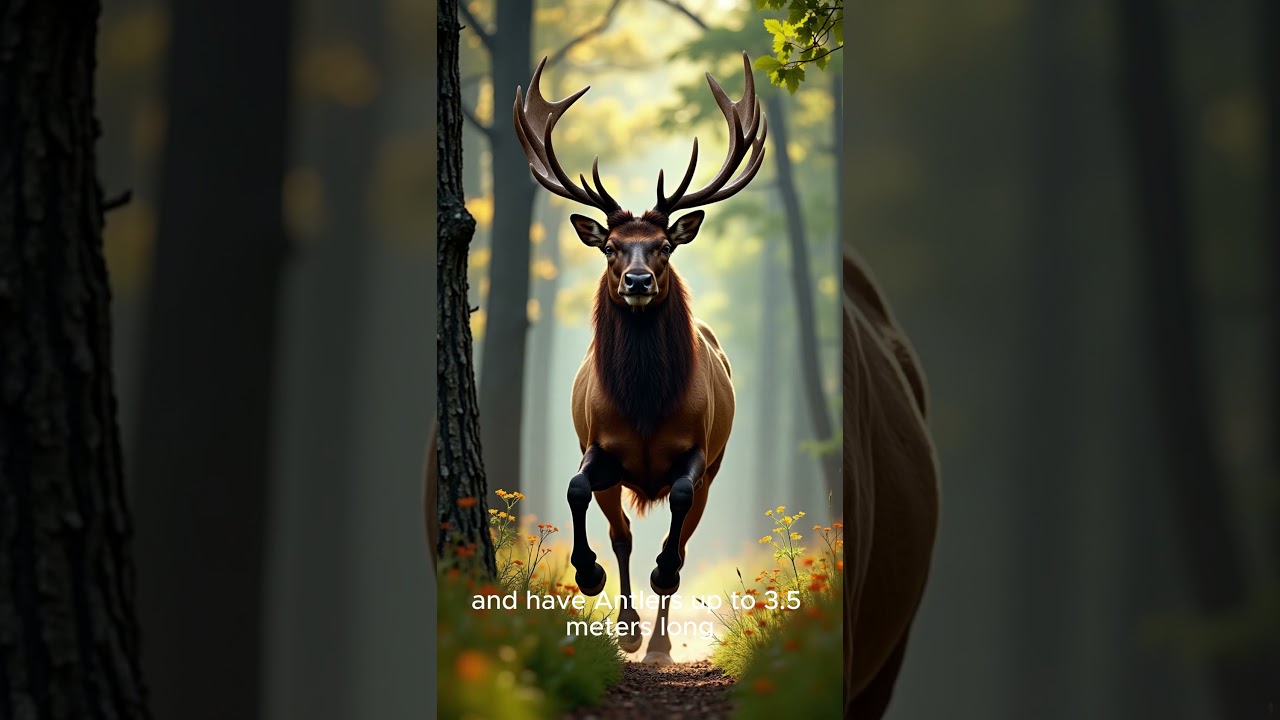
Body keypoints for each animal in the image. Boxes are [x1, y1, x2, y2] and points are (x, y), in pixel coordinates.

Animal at [514, 52, 766, 664]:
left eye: (664, 245)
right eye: (610, 246)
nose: (637, 280)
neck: (647, 407)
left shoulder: (696, 451)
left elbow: (678, 512)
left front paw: (662, 576)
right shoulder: (599, 445)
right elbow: (576, 490)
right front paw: (588, 577)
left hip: (717, 468)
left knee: (683, 535)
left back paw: (659, 638)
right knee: (622, 533)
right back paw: (628, 626)